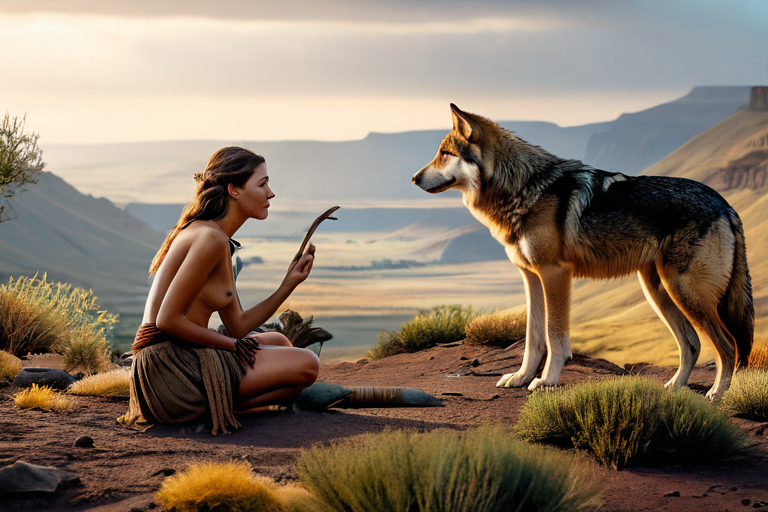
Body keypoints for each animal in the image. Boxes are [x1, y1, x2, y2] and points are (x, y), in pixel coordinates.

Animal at [412, 104, 754, 399]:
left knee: (729, 346)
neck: (524, 188)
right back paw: (674, 387)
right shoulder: (531, 277)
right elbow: (533, 339)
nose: (414, 178)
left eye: (444, 154)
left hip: (684, 291)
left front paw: (546, 381)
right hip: (659, 290)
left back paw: (717, 394)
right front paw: (521, 377)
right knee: (692, 343)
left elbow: (554, 337)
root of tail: (724, 203)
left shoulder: (554, 274)